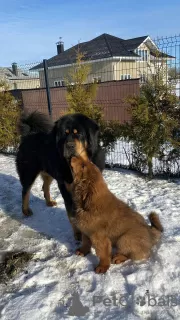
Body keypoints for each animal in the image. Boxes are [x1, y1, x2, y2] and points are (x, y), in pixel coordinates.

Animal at [16, 111, 105, 239]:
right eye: (64, 134)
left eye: (79, 133)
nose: (69, 145)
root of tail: (28, 134)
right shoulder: (66, 188)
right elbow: (72, 215)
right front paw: (78, 235)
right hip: (29, 172)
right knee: (25, 191)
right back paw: (26, 210)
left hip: (49, 172)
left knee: (45, 186)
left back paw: (49, 202)